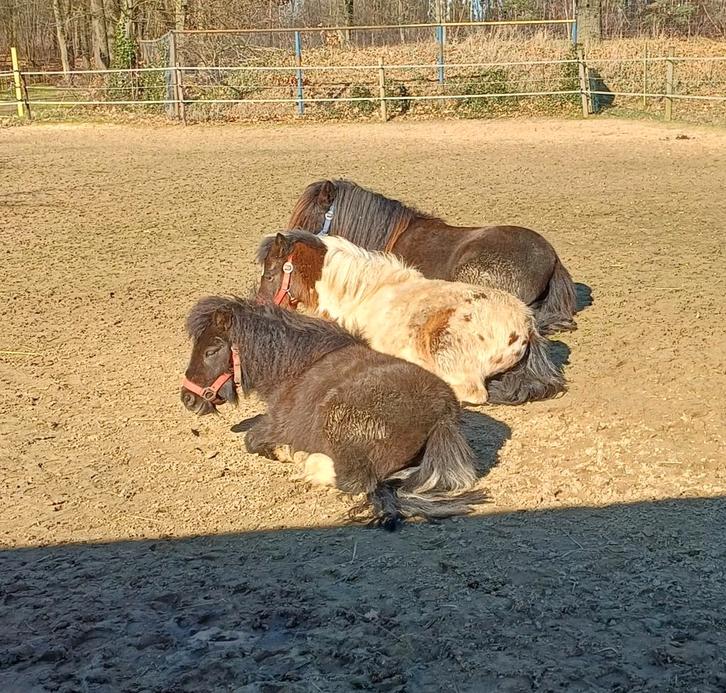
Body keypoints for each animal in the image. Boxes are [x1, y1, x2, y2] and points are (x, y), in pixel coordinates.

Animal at [180, 296, 485, 530]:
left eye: (211, 350)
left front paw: (282, 452)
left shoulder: (275, 426)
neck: (299, 368)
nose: (187, 399)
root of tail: (442, 416)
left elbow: (251, 441)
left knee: (355, 481)